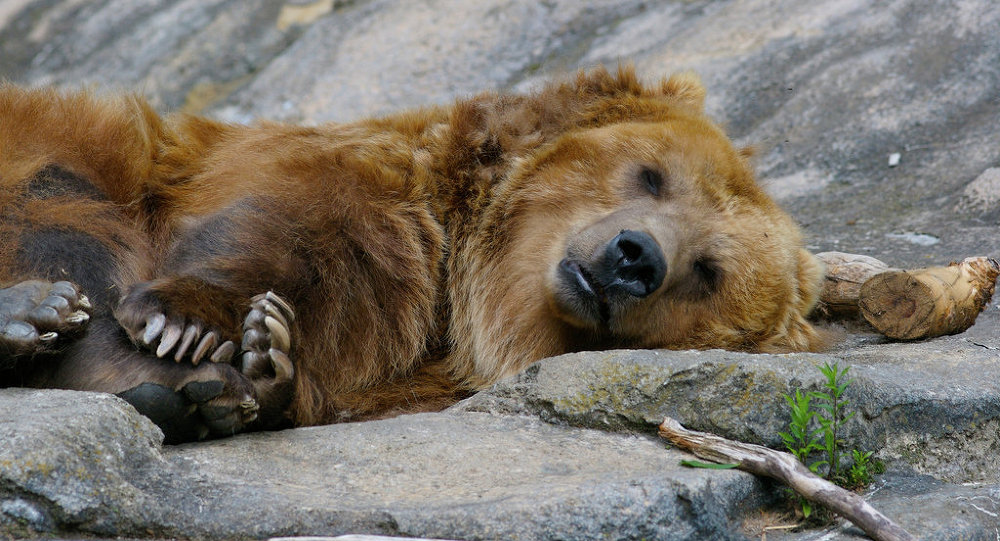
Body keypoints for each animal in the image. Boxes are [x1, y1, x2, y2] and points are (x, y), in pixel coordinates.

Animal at [0, 65, 824, 440]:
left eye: (708, 271)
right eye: (651, 174)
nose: (635, 256)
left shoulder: (399, 370)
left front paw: (249, 372)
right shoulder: (351, 186)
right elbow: (289, 233)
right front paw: (186, 333)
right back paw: (36, 313)